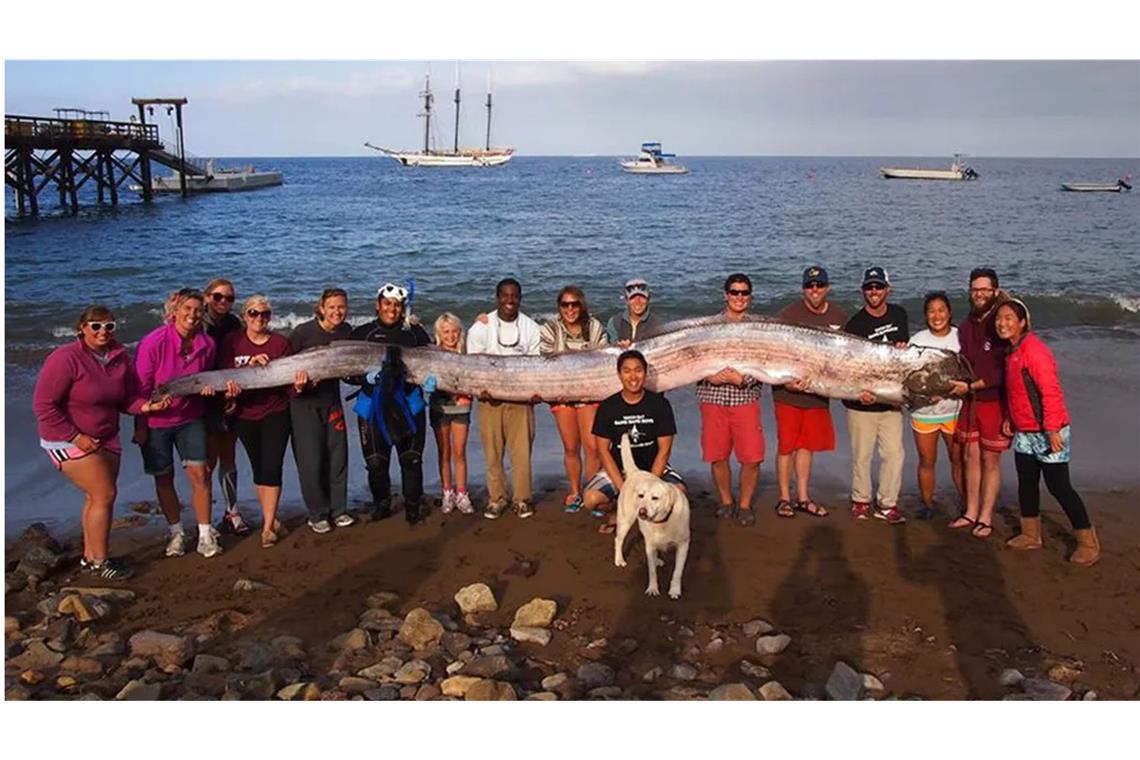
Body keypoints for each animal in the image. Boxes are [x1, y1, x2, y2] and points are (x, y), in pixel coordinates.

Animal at [611, 432, 688, 601]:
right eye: (641, 495)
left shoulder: (683, 546)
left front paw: (675, 590)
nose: (642, 512)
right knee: (618, 540)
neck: (663, 521)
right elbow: (652, 572)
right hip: (625, 520)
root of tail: (636, 472)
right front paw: (652, 589)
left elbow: (677, 572)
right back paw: (619, 559)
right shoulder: (650, 546)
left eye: (655, 498)